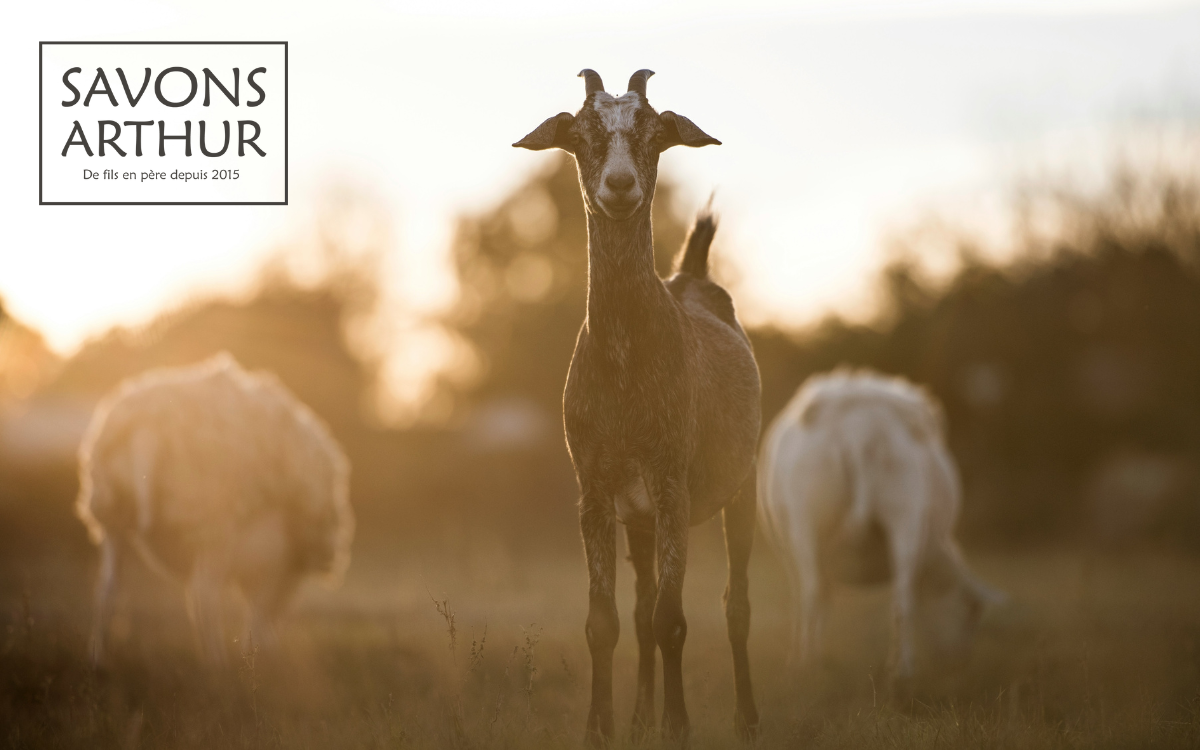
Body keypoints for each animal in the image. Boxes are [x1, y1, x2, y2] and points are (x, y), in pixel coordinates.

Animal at [76, 352, 350, 662]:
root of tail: (147, 425)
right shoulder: (271, 567)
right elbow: (257, 610)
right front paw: (258, 653)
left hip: (111, 516)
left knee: (108, 589)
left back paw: (99, 659)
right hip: (213, 523)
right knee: (203, 595)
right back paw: (217, 663)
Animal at [513, 68, 758, 744]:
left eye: (653, 131)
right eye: (581, 131)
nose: (619, 185)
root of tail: (692, 276)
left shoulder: (672, 481)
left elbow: (675, 619)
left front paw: (678, 727)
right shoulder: (596, 488)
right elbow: (608, 621)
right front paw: (602, 728)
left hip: (743, 485)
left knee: (736, 605)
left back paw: (747, 719)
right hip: (641, 519)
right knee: (644, 607)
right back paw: (642, 714)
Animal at [758, 369, 1003, 676]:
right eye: (972, 612)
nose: (959, 662)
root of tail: (862, 432)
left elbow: (816, 597)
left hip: (811, 514)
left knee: (818, 594)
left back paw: (814, 665)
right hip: (903, 511)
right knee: (898, 600)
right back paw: (898, 669)